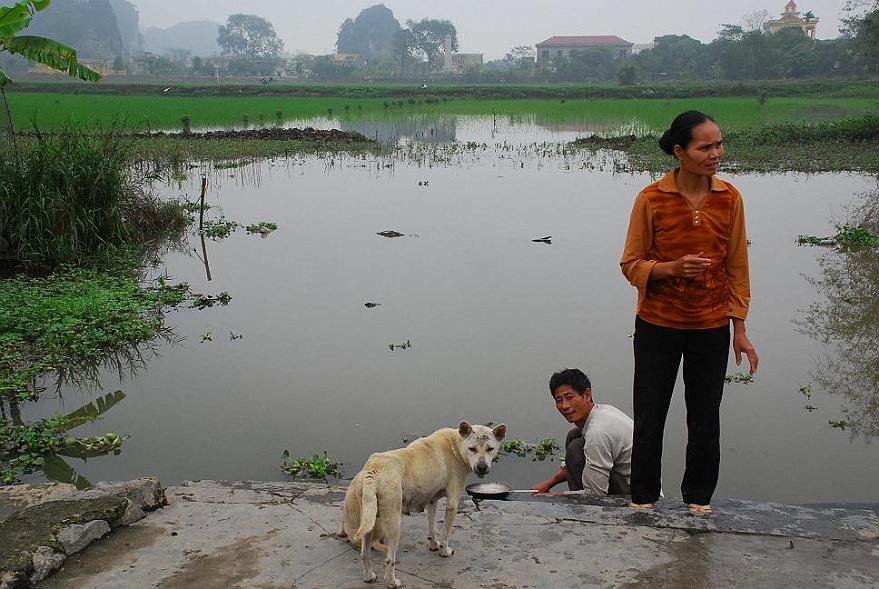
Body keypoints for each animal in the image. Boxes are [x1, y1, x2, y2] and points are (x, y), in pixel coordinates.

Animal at [338, 420, 506, 584]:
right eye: (472, 449)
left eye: (490, 448)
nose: (482, 467)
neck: (457, 446)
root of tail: (373, 470)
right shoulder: (453, 503)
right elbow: (445, 534)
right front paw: (444, 551)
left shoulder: (431, 501)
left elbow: (433, 529)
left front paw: (433, 545)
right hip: (393, 523)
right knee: (389, 559)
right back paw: (393, 582)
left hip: (369, 520)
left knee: (364, 554)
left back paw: (369, 577)